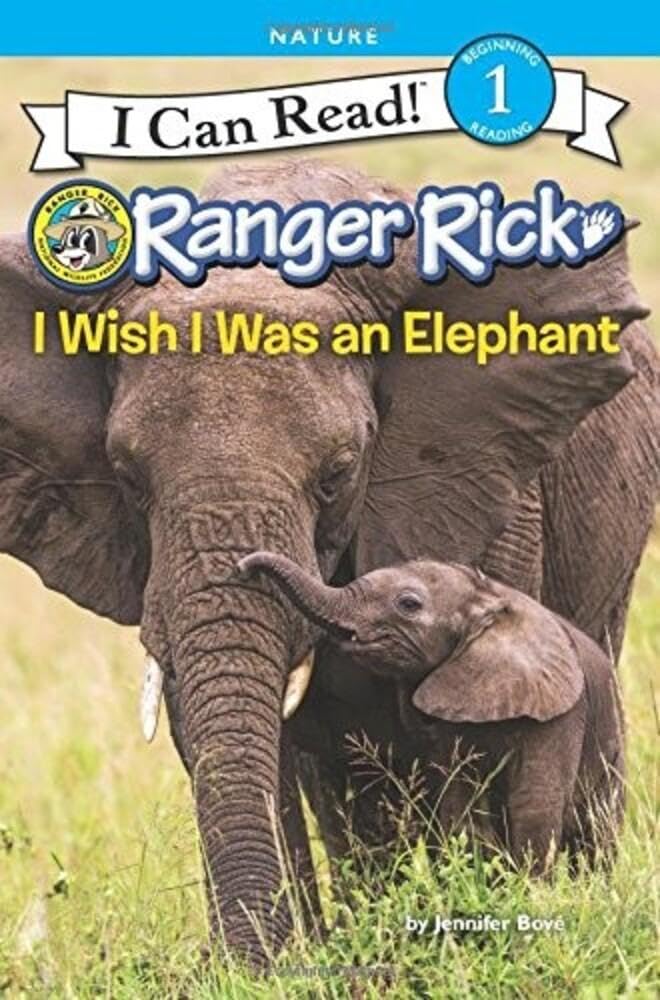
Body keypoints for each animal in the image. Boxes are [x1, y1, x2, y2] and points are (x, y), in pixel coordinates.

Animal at [238, 552, 625, 874]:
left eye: (408, 604)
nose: (243, 566)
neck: (487, 600)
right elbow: (458, 804)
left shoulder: (559, 714)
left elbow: (534, 806)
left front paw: (529, 894)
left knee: (597, 838)